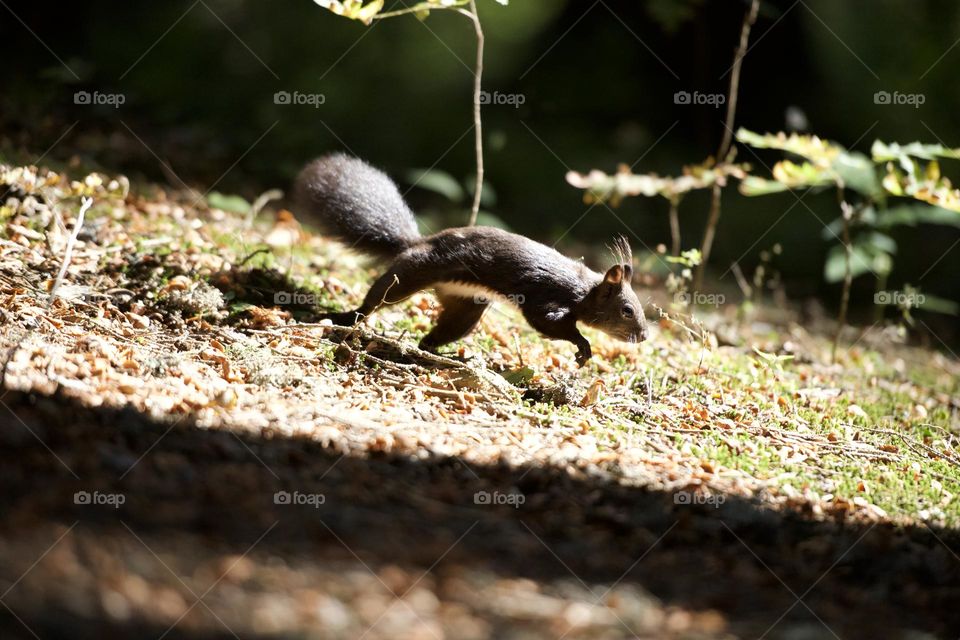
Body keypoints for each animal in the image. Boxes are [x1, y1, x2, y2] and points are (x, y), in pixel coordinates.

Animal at [294, 152, 644, 368]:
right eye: (627, 310)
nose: (642, 337)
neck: (583, 290)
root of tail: (418, 243)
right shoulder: (547, 297)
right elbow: (547, 322)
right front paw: (582, 344)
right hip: (412, 273)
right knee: (378, 298)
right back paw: (347, 317)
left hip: (466, 308)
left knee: (433, 337)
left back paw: (449, 356)